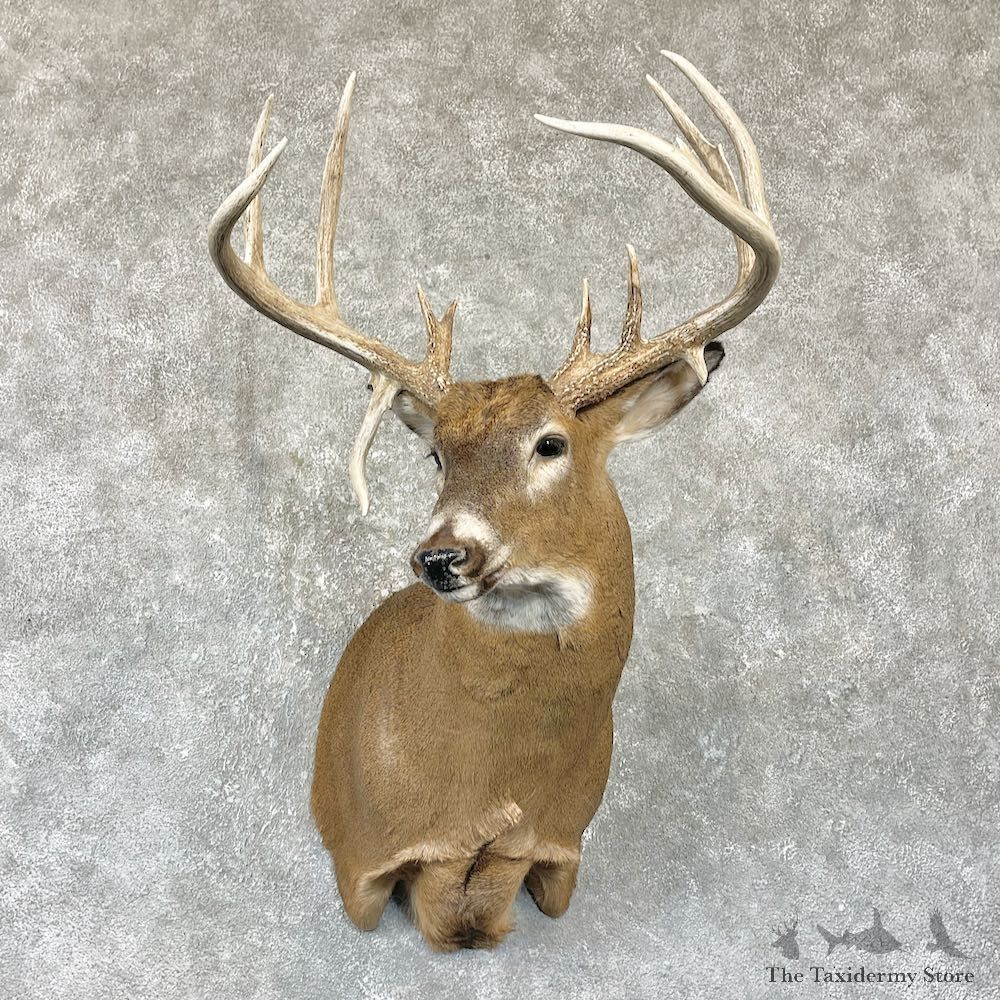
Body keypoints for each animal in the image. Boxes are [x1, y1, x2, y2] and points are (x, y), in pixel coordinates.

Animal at [208, 52, 780, 952]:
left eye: (551, 443)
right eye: (436, 454)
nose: (441, 554)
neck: (495, 787)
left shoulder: (555, 848)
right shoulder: (369, 857)